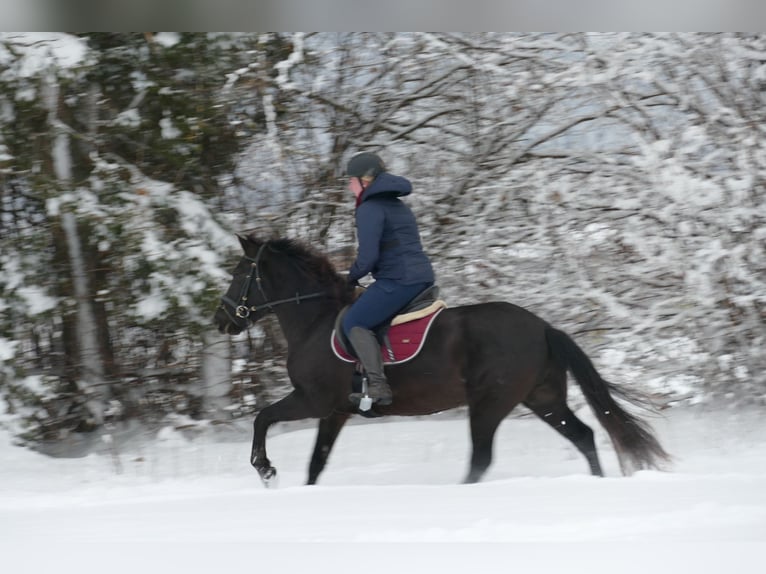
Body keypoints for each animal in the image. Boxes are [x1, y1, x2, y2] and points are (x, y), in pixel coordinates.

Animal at [216, 236, 672, 488]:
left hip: (490, 403)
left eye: (239, 274)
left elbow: (262, 417)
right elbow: (316, 462)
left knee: (482, 458)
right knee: (584, 436)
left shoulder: (313, 400)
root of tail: (543, 326)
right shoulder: (336, 411)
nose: (222, 320)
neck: (315, 320)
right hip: (542, 398)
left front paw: (265, 470)